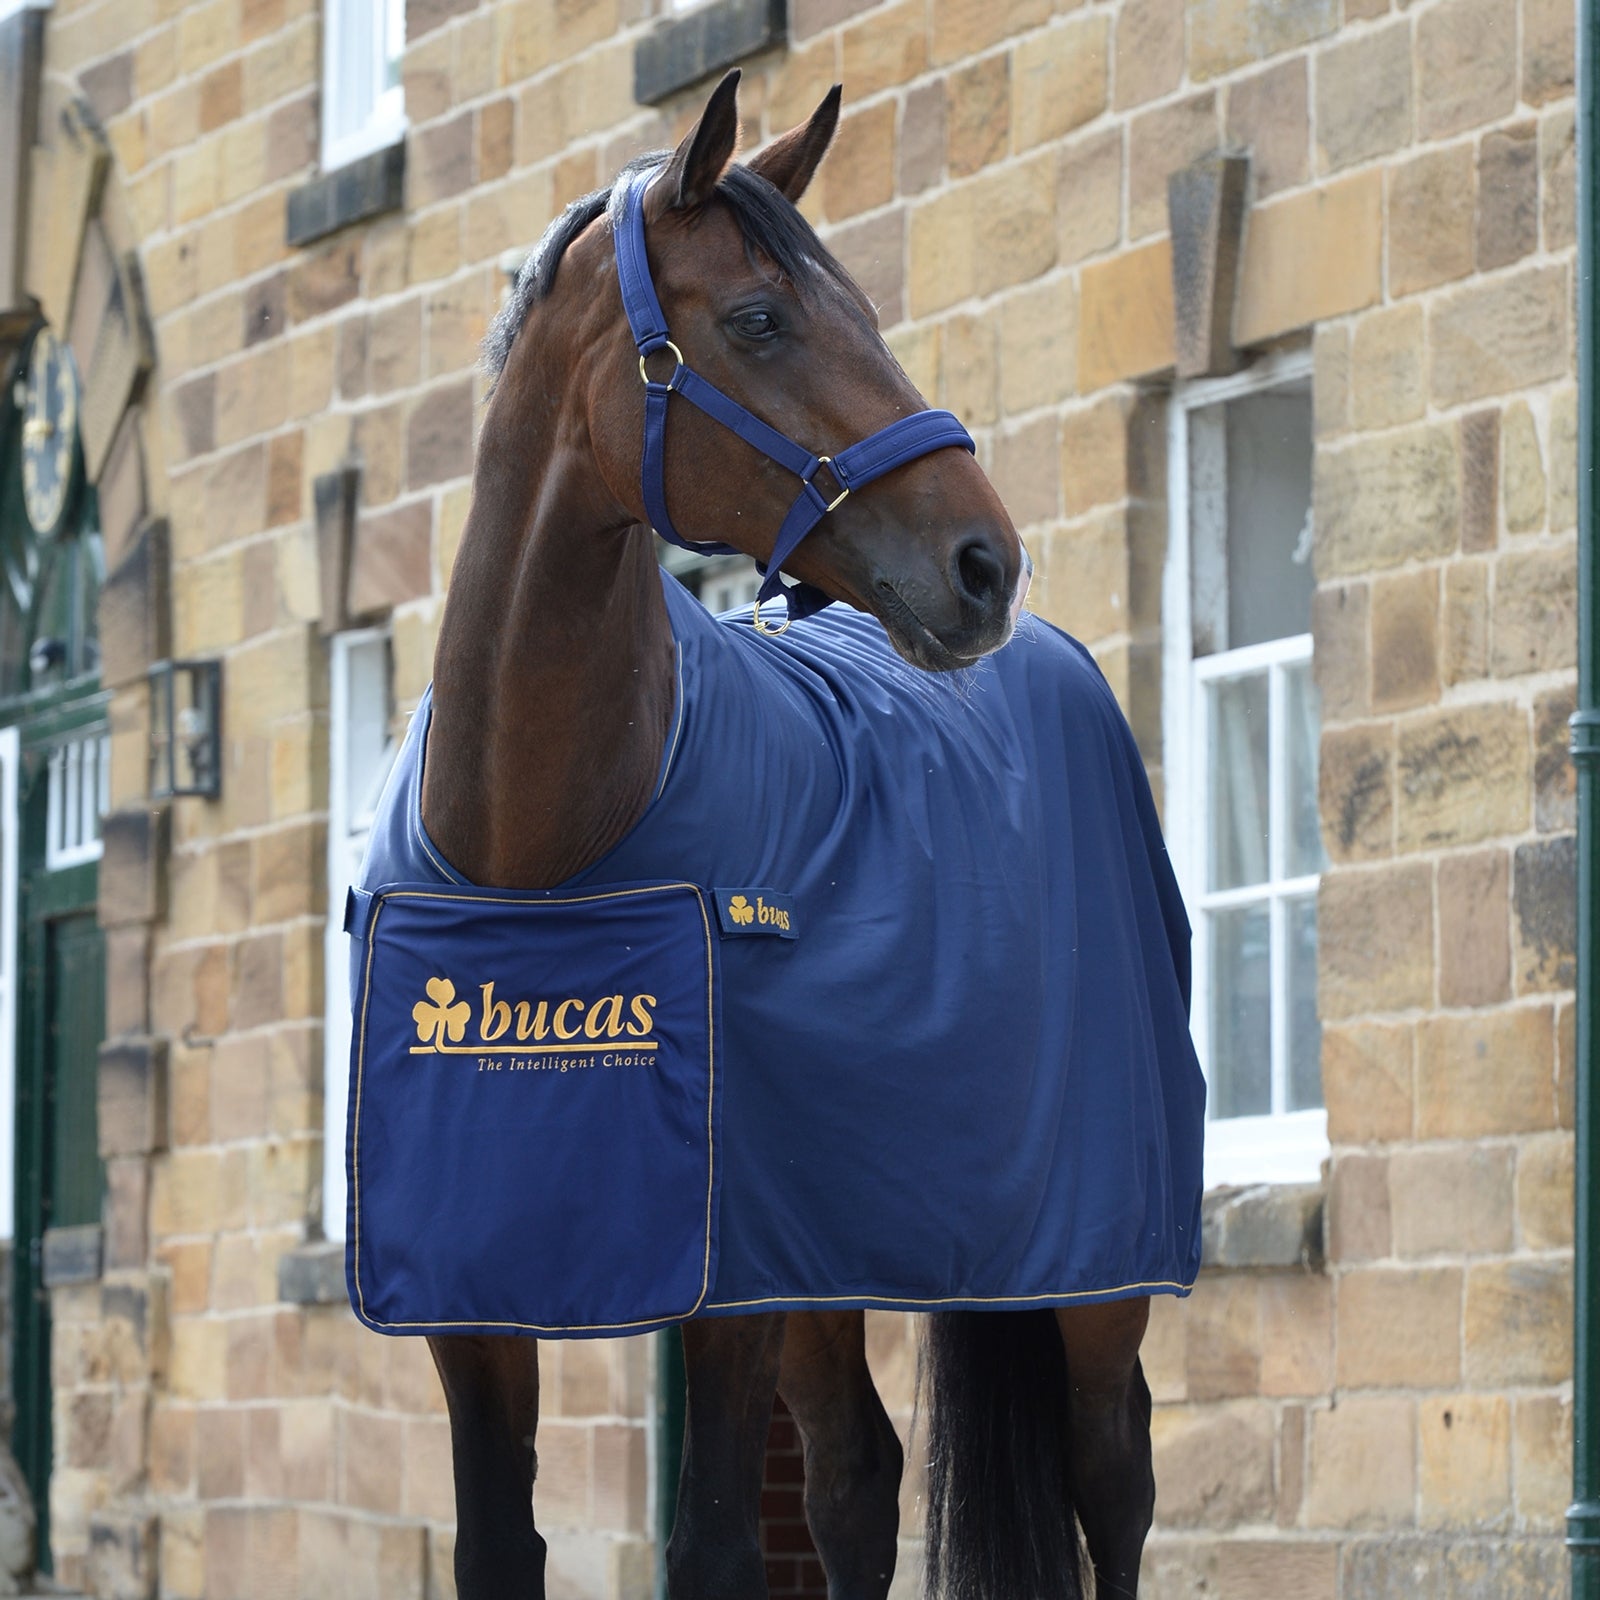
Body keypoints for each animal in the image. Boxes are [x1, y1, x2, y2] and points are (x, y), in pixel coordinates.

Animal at [362, 69, 1201, 1600]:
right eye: (759, 319)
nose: (986, 564)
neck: (539, 844)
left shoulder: (727, 1286)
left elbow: (709, 1547)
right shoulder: (475, 1294)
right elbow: (500, 1544)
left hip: (1097, 1261)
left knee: (1115, 1474)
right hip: (837, 1254)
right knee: (862, 1477)